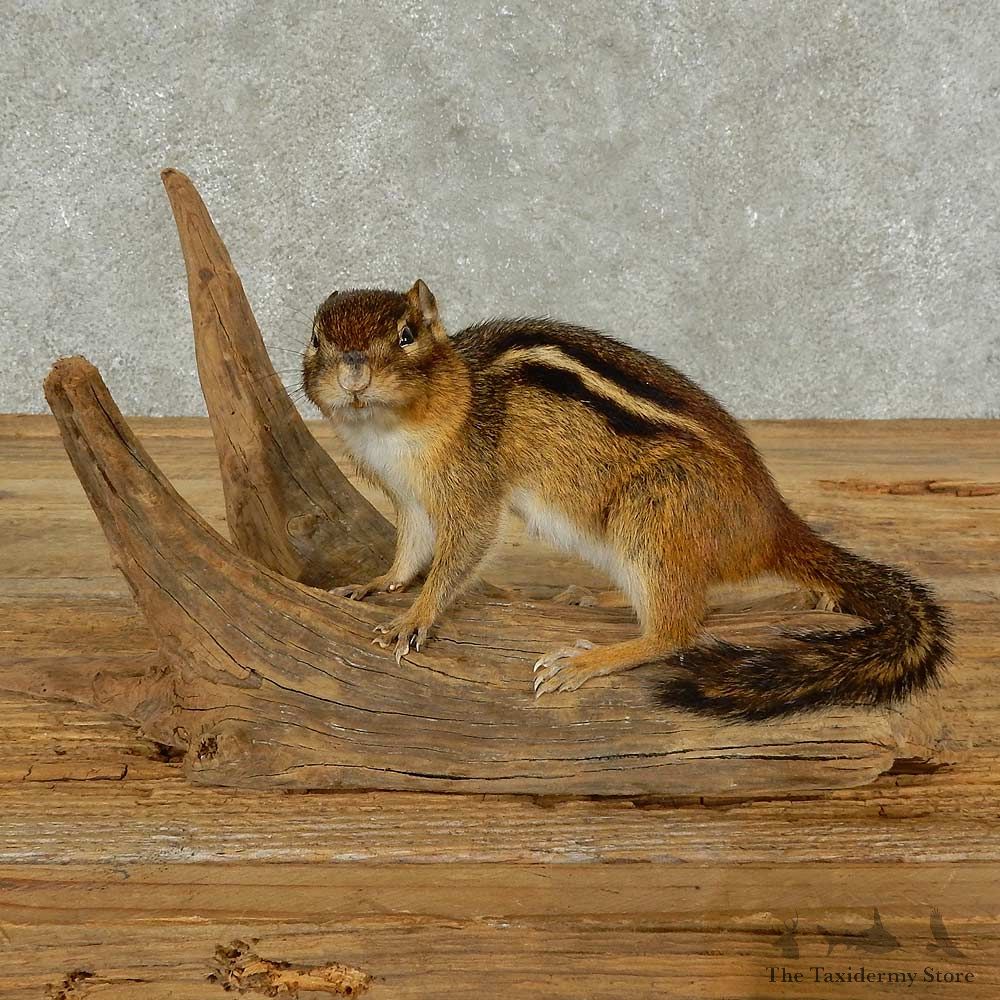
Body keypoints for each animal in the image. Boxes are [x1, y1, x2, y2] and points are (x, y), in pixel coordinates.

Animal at [302, 280, 951, 720]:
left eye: (406, 335)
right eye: (316, 336)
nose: (354, 372)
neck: (390, 430)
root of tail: (769, 522)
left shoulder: (472, 490)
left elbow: (461, 550)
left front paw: (417, 617)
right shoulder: (407, 498)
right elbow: (410, 549)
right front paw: (376, 585)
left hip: (654, 515)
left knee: (677, 631)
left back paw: (587, 661)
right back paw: (593, 599)